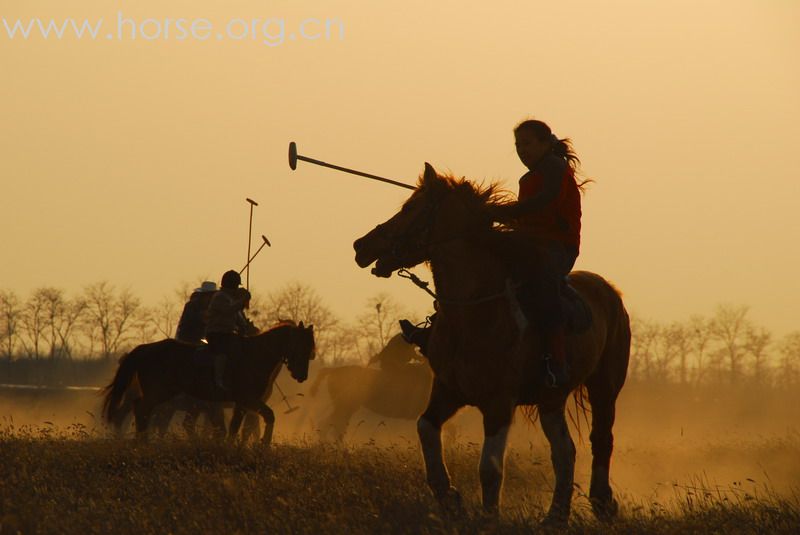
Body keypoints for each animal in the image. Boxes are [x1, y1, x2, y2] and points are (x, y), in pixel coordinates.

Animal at [100, 322, 312, 444]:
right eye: (303, 346)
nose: (302, 375)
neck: (255, 354)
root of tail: (143, 349)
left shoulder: (242, 403)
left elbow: (235, 426)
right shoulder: (248, 400)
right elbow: (267, 416)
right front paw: (264, 444)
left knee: (140, 411)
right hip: (160, 394)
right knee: (141, 410)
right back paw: (142, 440)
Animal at [354, 165, 628, 524]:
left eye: (410, 208)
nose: (361, 246)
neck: (475, 313)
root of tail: (610, 291)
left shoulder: (499, 402)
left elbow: (490, 468)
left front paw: (487, 516)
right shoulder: (447, 391)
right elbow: (425, 429)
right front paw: (450, 498)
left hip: (604, 387)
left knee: (602, 440)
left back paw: (602, 503)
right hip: (550, 399)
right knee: (564, 452)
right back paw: (555, 516)